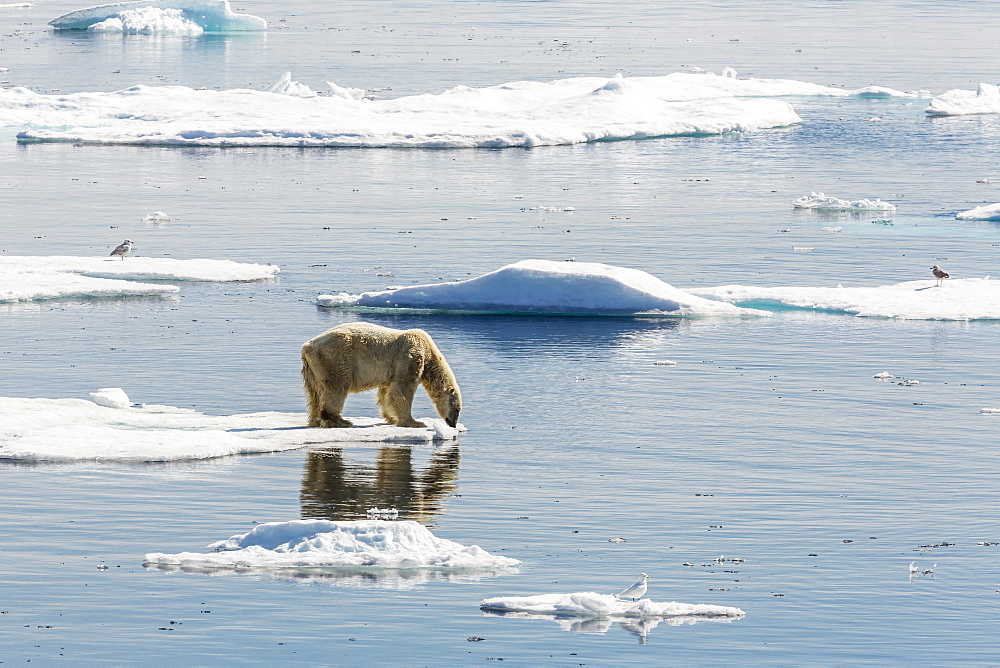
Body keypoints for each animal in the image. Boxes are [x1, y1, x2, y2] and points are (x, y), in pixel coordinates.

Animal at [300, 322, 464, 428]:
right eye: (457, 409)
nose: (453, 424)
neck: (428, 350)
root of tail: (307, 346)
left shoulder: (391, 373)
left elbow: (386, 393)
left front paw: (391, 418)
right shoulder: (410, 356)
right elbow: (403, 389)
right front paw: (415, 422)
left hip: (312, 369)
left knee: (314, 393)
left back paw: (315, 420)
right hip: (335, 358)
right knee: (337, 386)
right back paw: (341, 421)